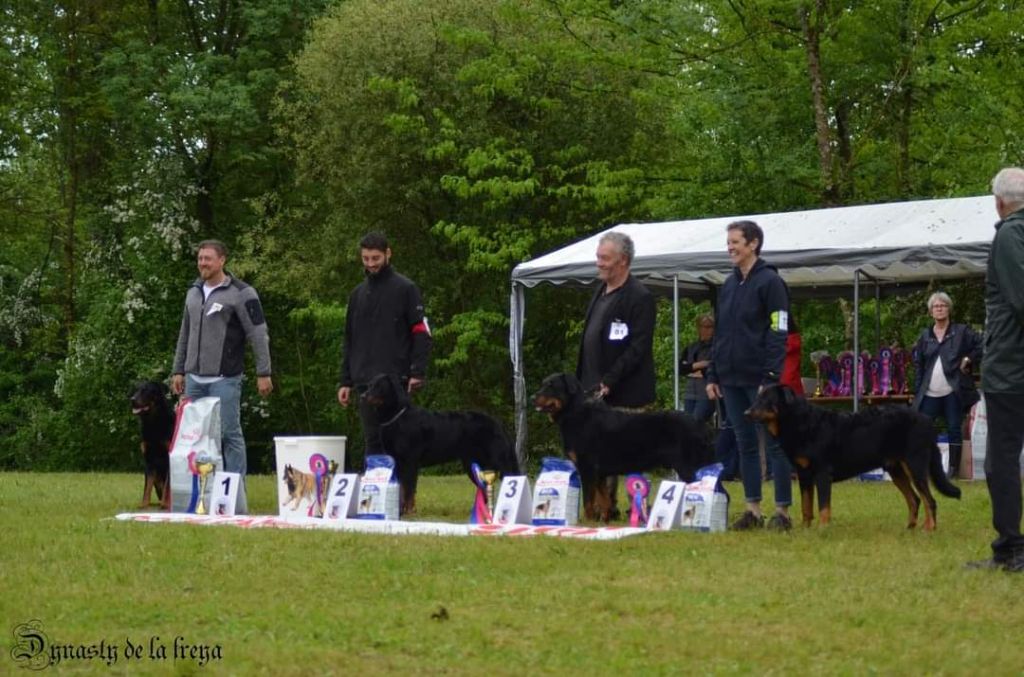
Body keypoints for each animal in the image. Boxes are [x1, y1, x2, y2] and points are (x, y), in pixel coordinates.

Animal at [362, 374, 520, 512]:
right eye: (369, 385)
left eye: (379, 386)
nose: (363, 396)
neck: (397, 417)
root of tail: (498, 423)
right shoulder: (398, 462)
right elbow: (402, 489)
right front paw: (400, 511)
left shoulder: (410, 461)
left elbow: (409, 489)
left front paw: (409, 511)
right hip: (472, 465)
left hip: (500, 461)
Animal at [536, 372, 712, 520]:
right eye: (543, 383)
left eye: (551, 385)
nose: (532, 397)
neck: (575, 414)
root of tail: (699, 425)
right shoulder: (600, 474)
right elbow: (604, 499)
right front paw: (603, 522)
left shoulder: (587, 468)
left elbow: (588, 501)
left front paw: (586, 523)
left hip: (688, 467)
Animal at [745, 383, 958, 532]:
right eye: (757, 398)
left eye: (767, 399)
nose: (746, 412)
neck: (801, 423)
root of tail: (927, 421)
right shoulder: (804, 474)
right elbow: (806, 506)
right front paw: (805, 530)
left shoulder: (822, 473)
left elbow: (823, 506)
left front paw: (822, 529)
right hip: (896, 469)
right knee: (914, 499)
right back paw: (909, 528)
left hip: (915, 465)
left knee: (930, 500)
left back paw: (929, 529)